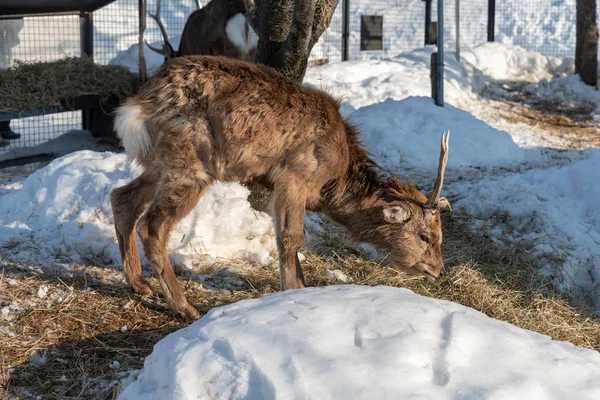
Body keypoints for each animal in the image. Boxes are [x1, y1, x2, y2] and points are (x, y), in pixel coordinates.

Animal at [111, 56, 450, 320]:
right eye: (426, 236)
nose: (440, 270)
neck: (332, 184)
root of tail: (141, 101)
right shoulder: (295, 177)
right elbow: (291, 238)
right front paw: (293, 291)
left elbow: (285, 237)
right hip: (191, 162)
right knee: (152, 225)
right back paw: (183, 306)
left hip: (160, 162)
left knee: (122, 197)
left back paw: (139, 283)